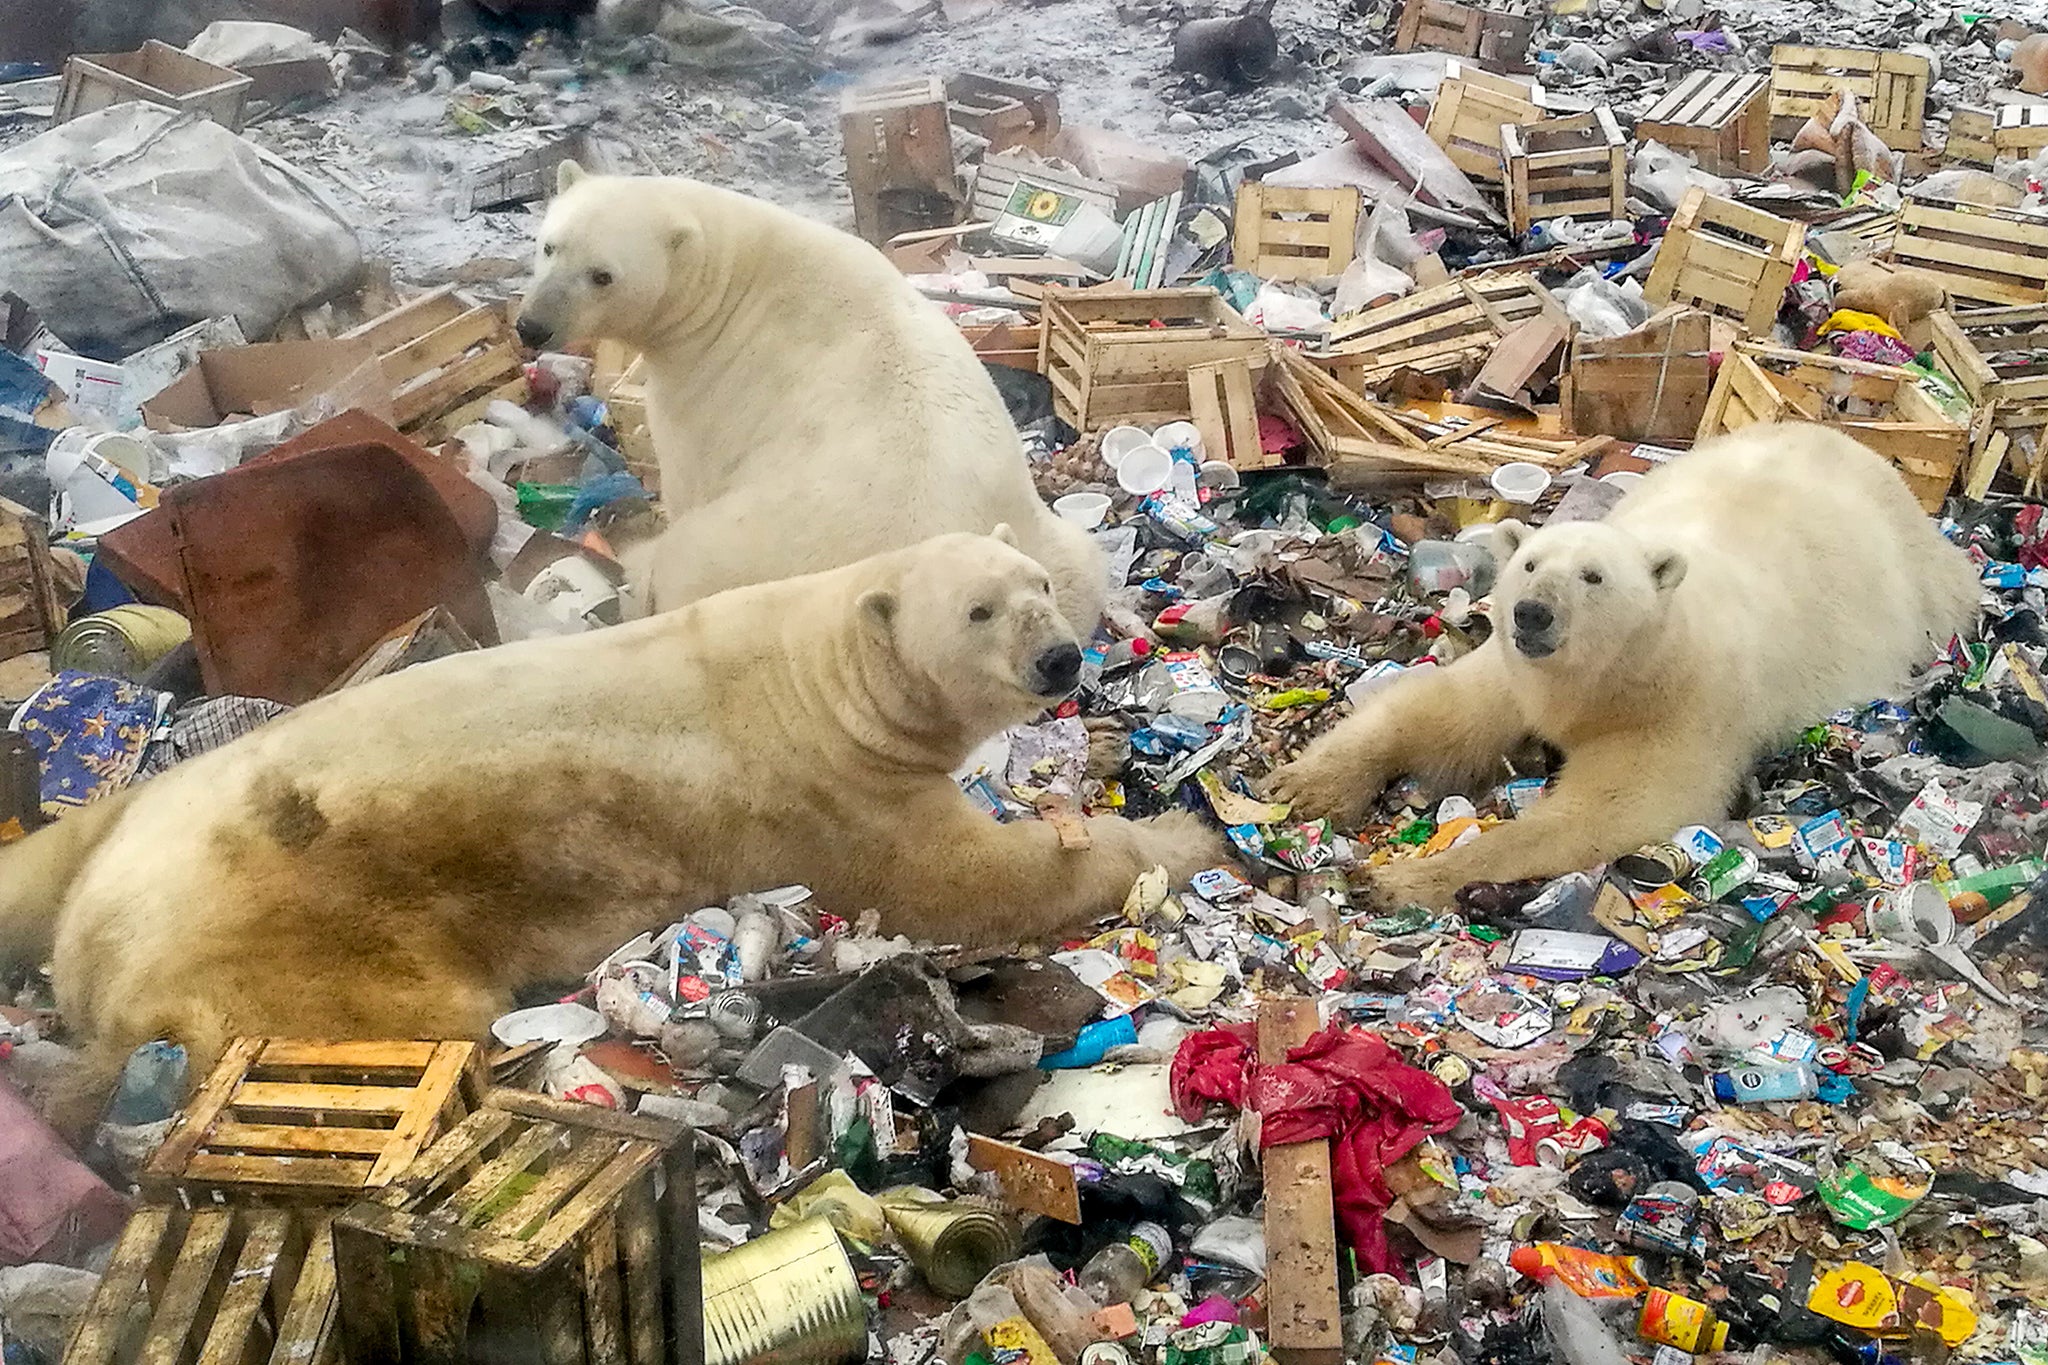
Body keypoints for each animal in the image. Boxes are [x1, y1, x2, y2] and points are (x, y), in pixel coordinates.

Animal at [0, 527, 1212, 1137]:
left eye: (1039, 582)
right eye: (976, 611)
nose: (1058, 657)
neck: (824, 680)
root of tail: (95, 959)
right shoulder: (831, 797)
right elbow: (968, 882)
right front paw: (1185, 843)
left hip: (132, 813)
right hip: (292, 944)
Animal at [520, 167, 1114, 638]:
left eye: (602, 275)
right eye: (550, 246)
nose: (532, 326)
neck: (732, 272)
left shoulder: (705, 384)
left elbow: (687, 474)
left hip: (734, 556)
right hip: (1045, 544)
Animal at [1269, 423, 1974, 908]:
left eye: (1593, 576)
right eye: (1530, 563)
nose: (1531, 614)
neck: (1610, 676)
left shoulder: (1677, 707)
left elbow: (1610, 809)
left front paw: (1400, 879)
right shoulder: (1516, 675)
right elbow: (1435, 711)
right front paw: (1304, 787)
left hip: (1919, 591)